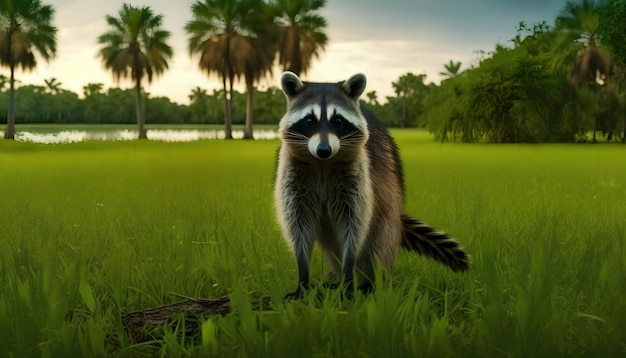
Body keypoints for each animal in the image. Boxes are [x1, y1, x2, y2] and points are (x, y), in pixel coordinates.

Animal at [272, 71, 468, 296]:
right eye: (309, 120)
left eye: (338, 120)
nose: (324, 149)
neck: (323, 163)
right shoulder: (292, 175)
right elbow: (298, 224)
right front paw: (303, 276)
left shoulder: (359, 176)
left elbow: (354, 225)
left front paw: (348, 276)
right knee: (331, 245)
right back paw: (334, 276)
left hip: (387, 201)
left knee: (381, 238)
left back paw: (372, 282)